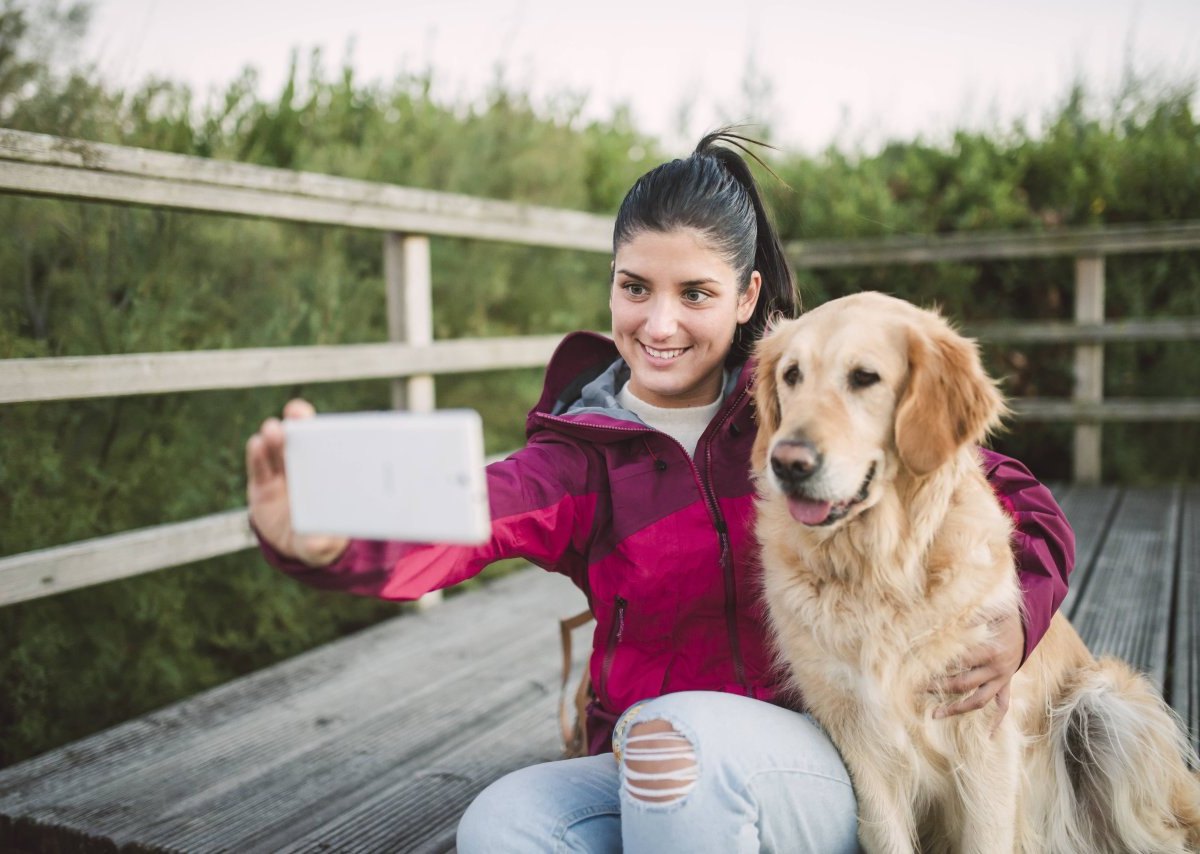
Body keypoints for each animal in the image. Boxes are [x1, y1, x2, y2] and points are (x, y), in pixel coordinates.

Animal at [753, 293, 1195, 854]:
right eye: (791, 375)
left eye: (864, 377)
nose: (787, 462)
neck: (881, 569)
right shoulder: (858, 739)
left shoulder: (984, 734)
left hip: (1104, 705)